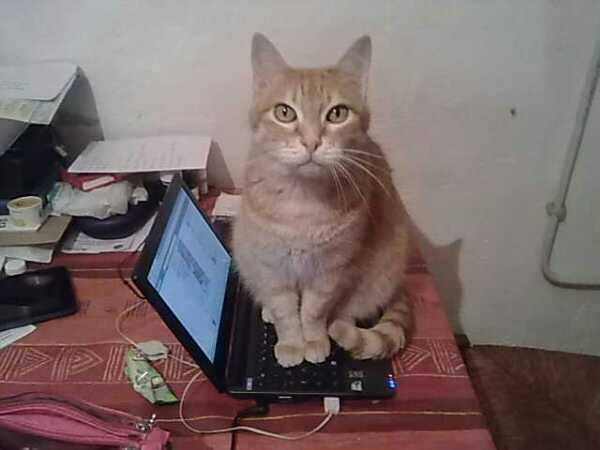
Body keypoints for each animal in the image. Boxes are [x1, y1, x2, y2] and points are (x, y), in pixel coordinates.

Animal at [232, 33, 412, 367]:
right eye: (285, 112)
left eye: (337, 113)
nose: (312, 141)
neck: (302, 202)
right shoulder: (273, 266)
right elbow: (286, 311)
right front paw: (292, 342)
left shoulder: (329, 271)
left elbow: (313, 311)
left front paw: (313, 339)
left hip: (379, 277)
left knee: (348, 312)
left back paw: (338, 326)